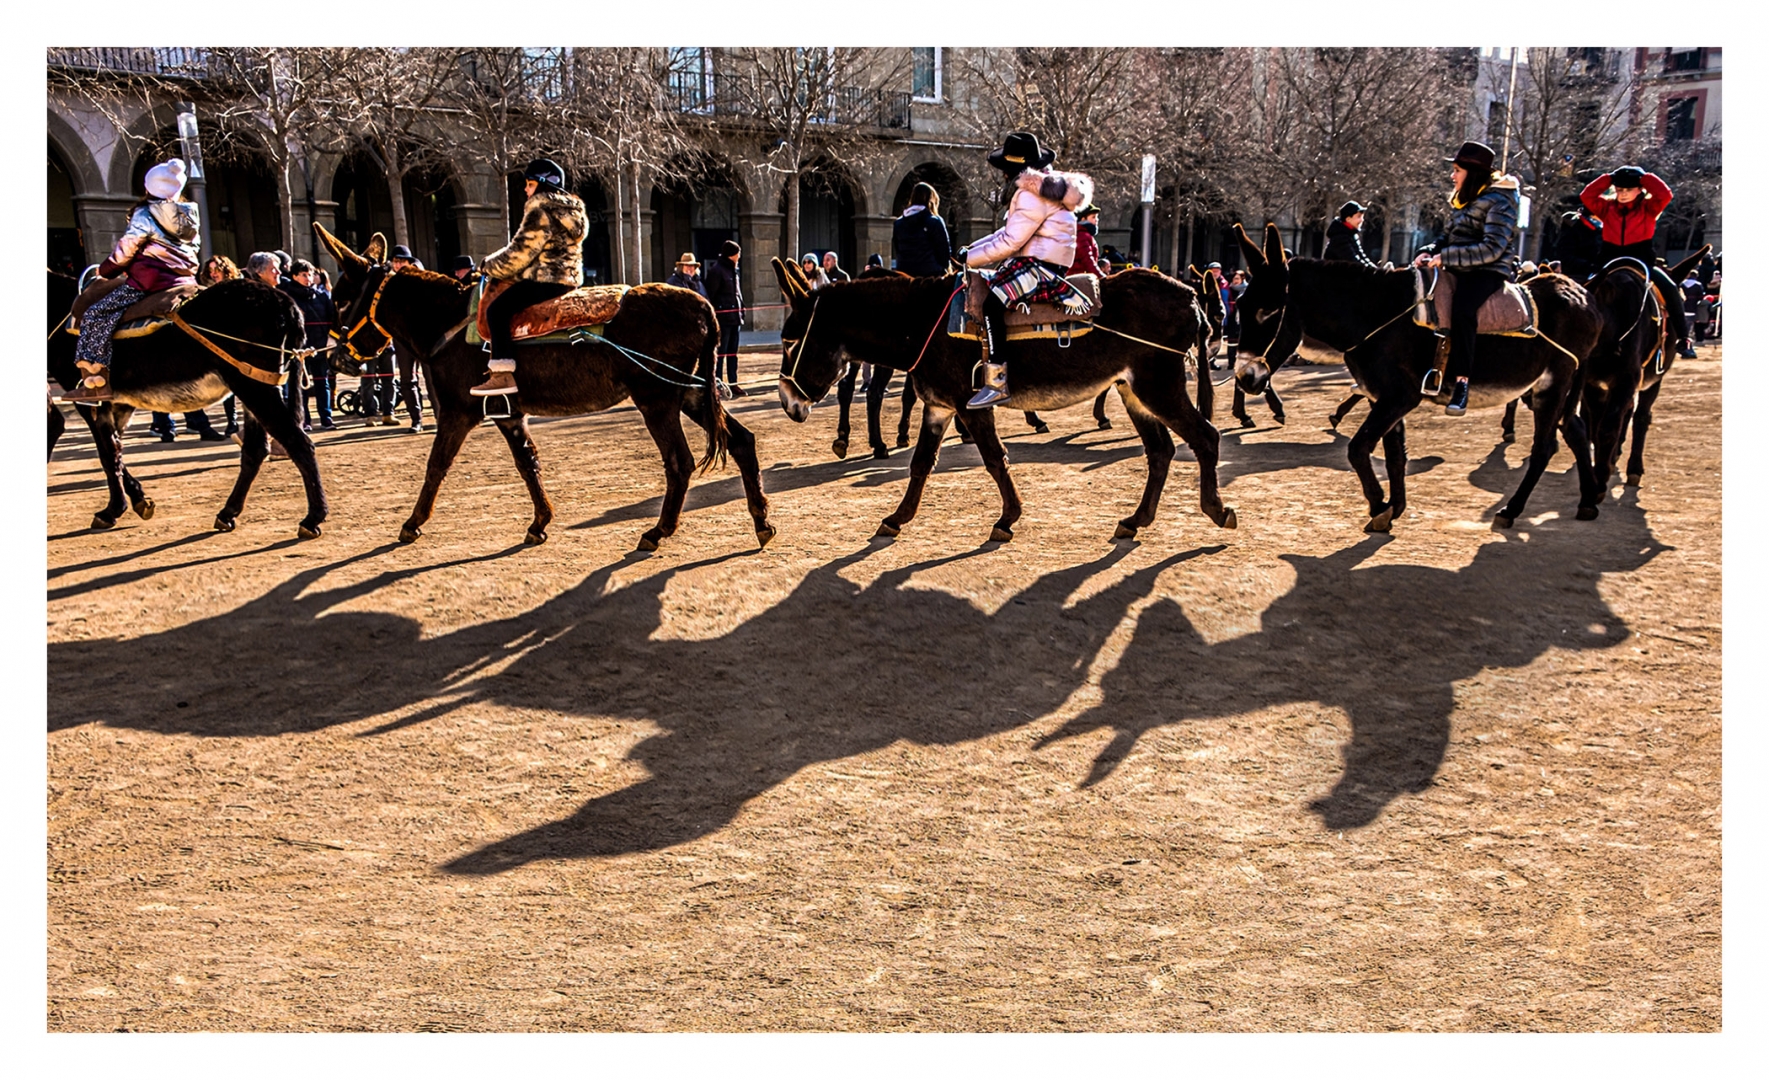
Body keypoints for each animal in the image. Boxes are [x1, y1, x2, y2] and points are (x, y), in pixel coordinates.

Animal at [49, 270, 327, 537]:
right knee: (256, 450)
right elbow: (114, 451)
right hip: (256, 386)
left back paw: (312, 519)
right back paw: (228, 513)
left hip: (253, 387)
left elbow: (107, 453)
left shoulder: (91, 401)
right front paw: (138, 501)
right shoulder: (117, 404)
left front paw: (113, 510)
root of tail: (284, 302)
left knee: (298, 443)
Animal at [315, 223, 774, 552]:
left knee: (679, 462)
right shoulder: (508, 413)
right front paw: (539, 523)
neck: (448, 321)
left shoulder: (457, 411)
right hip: (691, 393)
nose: (335, 360)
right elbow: (527, 463)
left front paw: (412, 523)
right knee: (742, 441)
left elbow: (436, 466)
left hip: (658, 399)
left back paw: (658, 531)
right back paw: (761, 521)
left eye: (341, 300)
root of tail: (701, 305)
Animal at [773, 257, 1236, 542]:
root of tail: (1189, 295)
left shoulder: (968, 405)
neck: (922, 322)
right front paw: (896, 518)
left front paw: (1007, 519)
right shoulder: (939, 407)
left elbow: (995, 459)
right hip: (1133, 391)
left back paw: (1215, 509)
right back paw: (1136, 521)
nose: (788, 404)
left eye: (790, 341)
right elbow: (921, 463)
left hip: (1159, 385)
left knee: (1206, 437)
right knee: (1160, 452)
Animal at [1230, 222, 1602, 531]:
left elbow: (1358, 448)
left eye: (1268, 311)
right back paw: (1589, 500)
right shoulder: (1383, 398)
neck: (1377, 316)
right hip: (1542, 387)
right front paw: (1394, 508)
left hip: (1553, 384)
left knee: (1544, 447)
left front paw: (1379, 506)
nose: (1245, 376)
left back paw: (1513, 509)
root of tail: (1583, 294)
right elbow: (1394, 454)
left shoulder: (1400, 397)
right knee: (1576, 430)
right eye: (1240, 307)